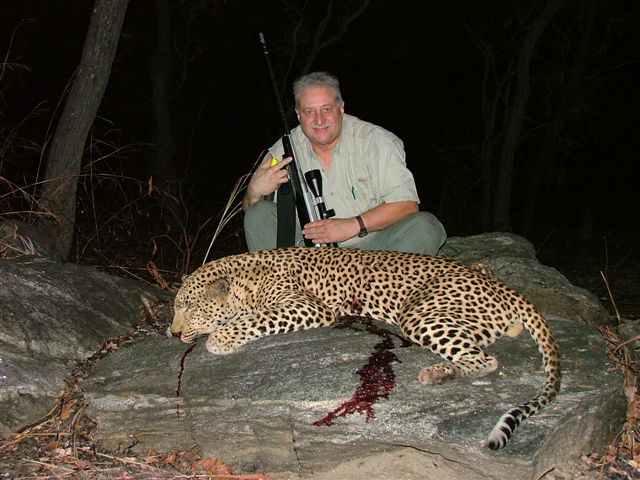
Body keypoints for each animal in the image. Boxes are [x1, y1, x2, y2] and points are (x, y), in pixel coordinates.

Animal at [167, 247, 561, 450]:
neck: (244, 280)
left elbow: (257, 319)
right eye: (175, 307)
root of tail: (506, 288)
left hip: (420, 314)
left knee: (487, 360)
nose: (172, 332)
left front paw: (221, 338)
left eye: (189, 307)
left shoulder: (307, 307)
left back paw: (437, 373)